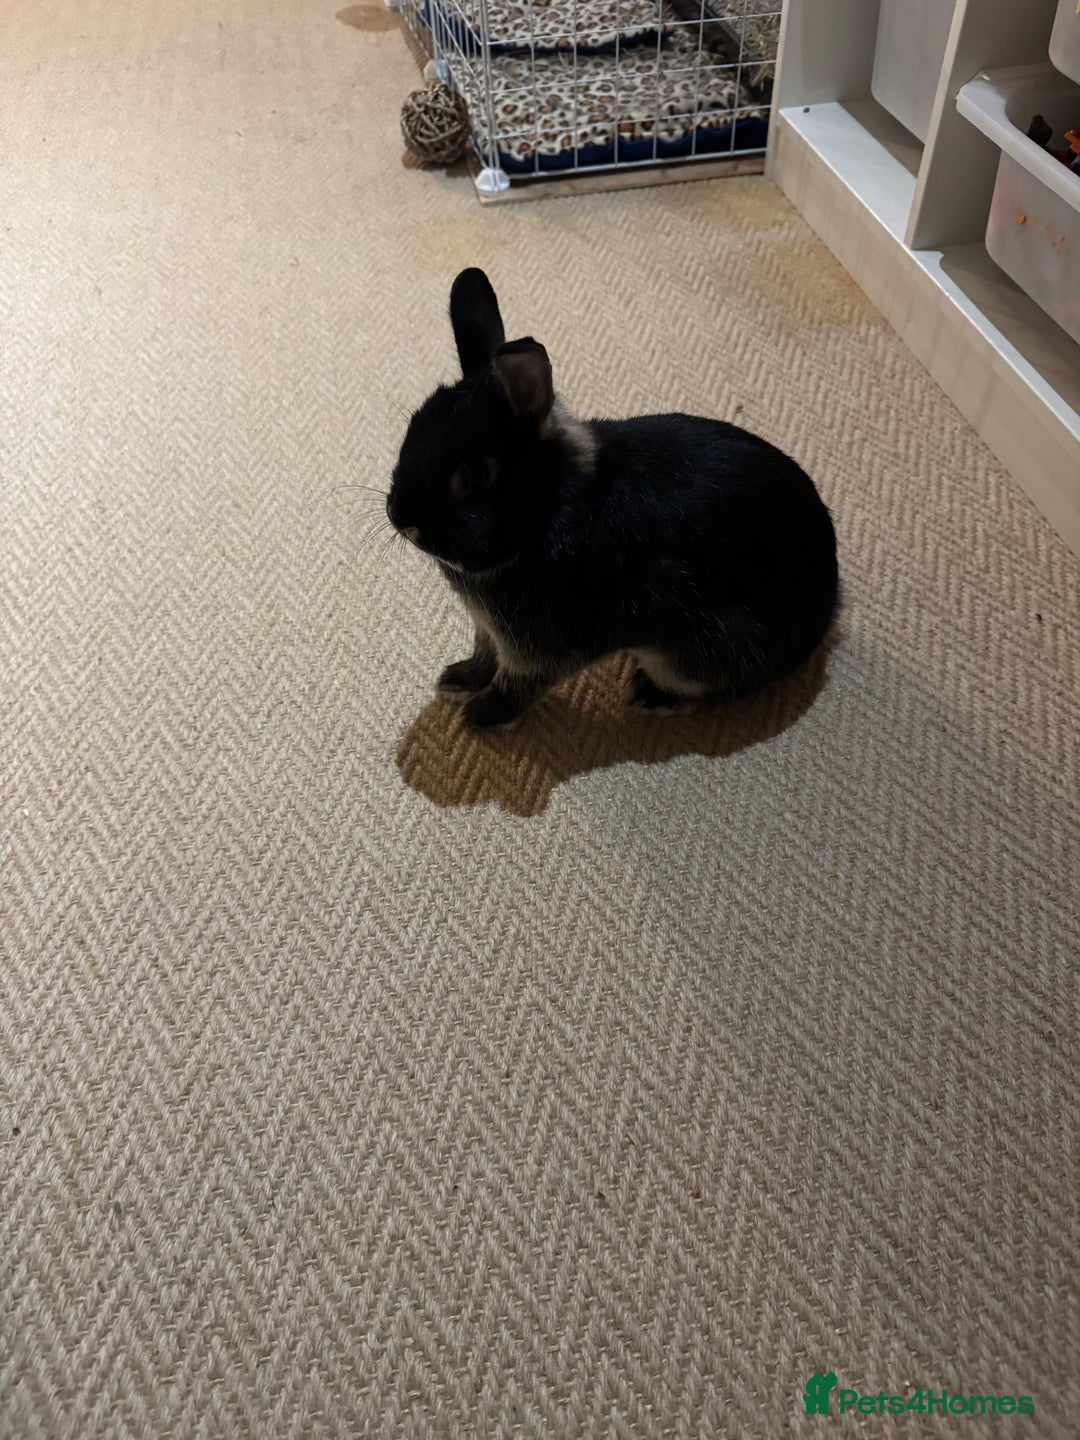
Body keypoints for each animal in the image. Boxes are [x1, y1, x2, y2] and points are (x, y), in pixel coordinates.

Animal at [386, 267, 838, 730]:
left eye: (475, 474)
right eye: (413, 426)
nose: (400, 518)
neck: (550, 512)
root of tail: (827, 610)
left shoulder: (540, 650)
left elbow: (517, 684)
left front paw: (479, 719)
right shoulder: (490, 631)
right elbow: (484, 655)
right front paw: (457, 681)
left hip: (695, 656)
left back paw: (649, 696)